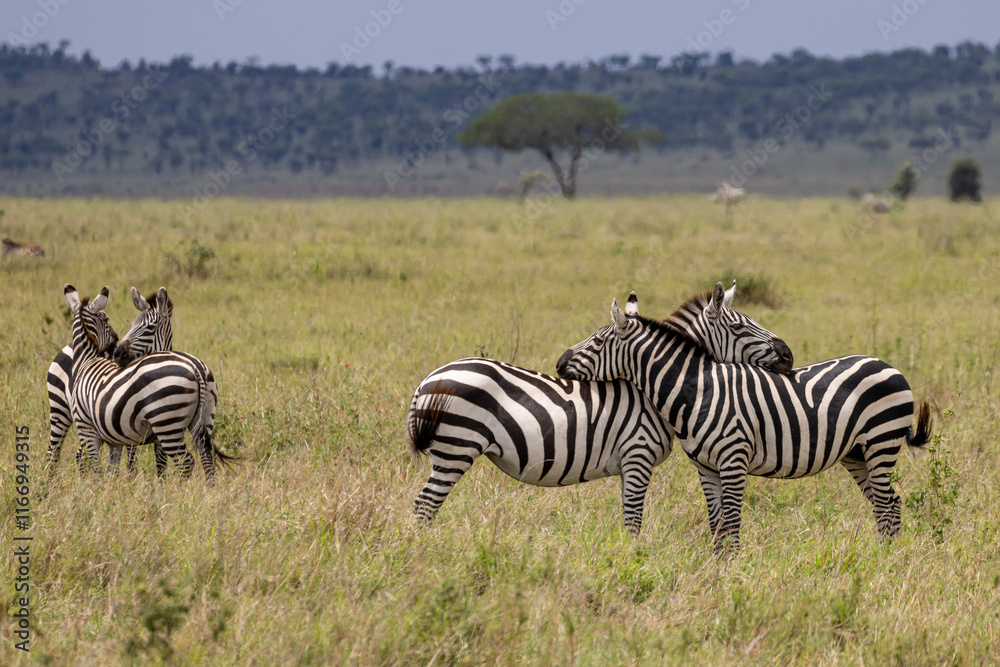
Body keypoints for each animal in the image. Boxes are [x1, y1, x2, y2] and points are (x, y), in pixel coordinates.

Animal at [63, 285, 232, 481]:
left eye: (150, 327)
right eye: (131, 325)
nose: (117, 352)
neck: (86, 360)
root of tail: (195, 366)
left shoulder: (88, 430)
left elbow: (99, 467)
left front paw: (100, 486)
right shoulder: (118, 438)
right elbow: (119, 468)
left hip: (167, 422)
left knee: (186, 461)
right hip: (204, 418)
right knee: (205, 456)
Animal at [407, 286, 792, 534]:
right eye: (740, 326)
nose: (788, 355)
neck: (650, 392)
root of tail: (429, 378)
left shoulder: (628, 465)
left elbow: (628, 517)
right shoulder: (637, 455)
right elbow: (633, 522)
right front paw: (632, 561)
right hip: (457, 447)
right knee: (425, 506)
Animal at [555, 294, 933, 552]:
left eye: (598, 340)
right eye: (739, 325)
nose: (559, 363)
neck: (697, 388)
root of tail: (887, 364)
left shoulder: (733, 459)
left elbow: (733, 520)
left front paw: (733, 569)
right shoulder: (705, 467)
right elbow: (716, 522)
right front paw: (716, 564)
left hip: (881, 442)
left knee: (887, 504)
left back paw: (886, 560)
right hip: (856, 454)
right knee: (886, 504)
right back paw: (883, 556)